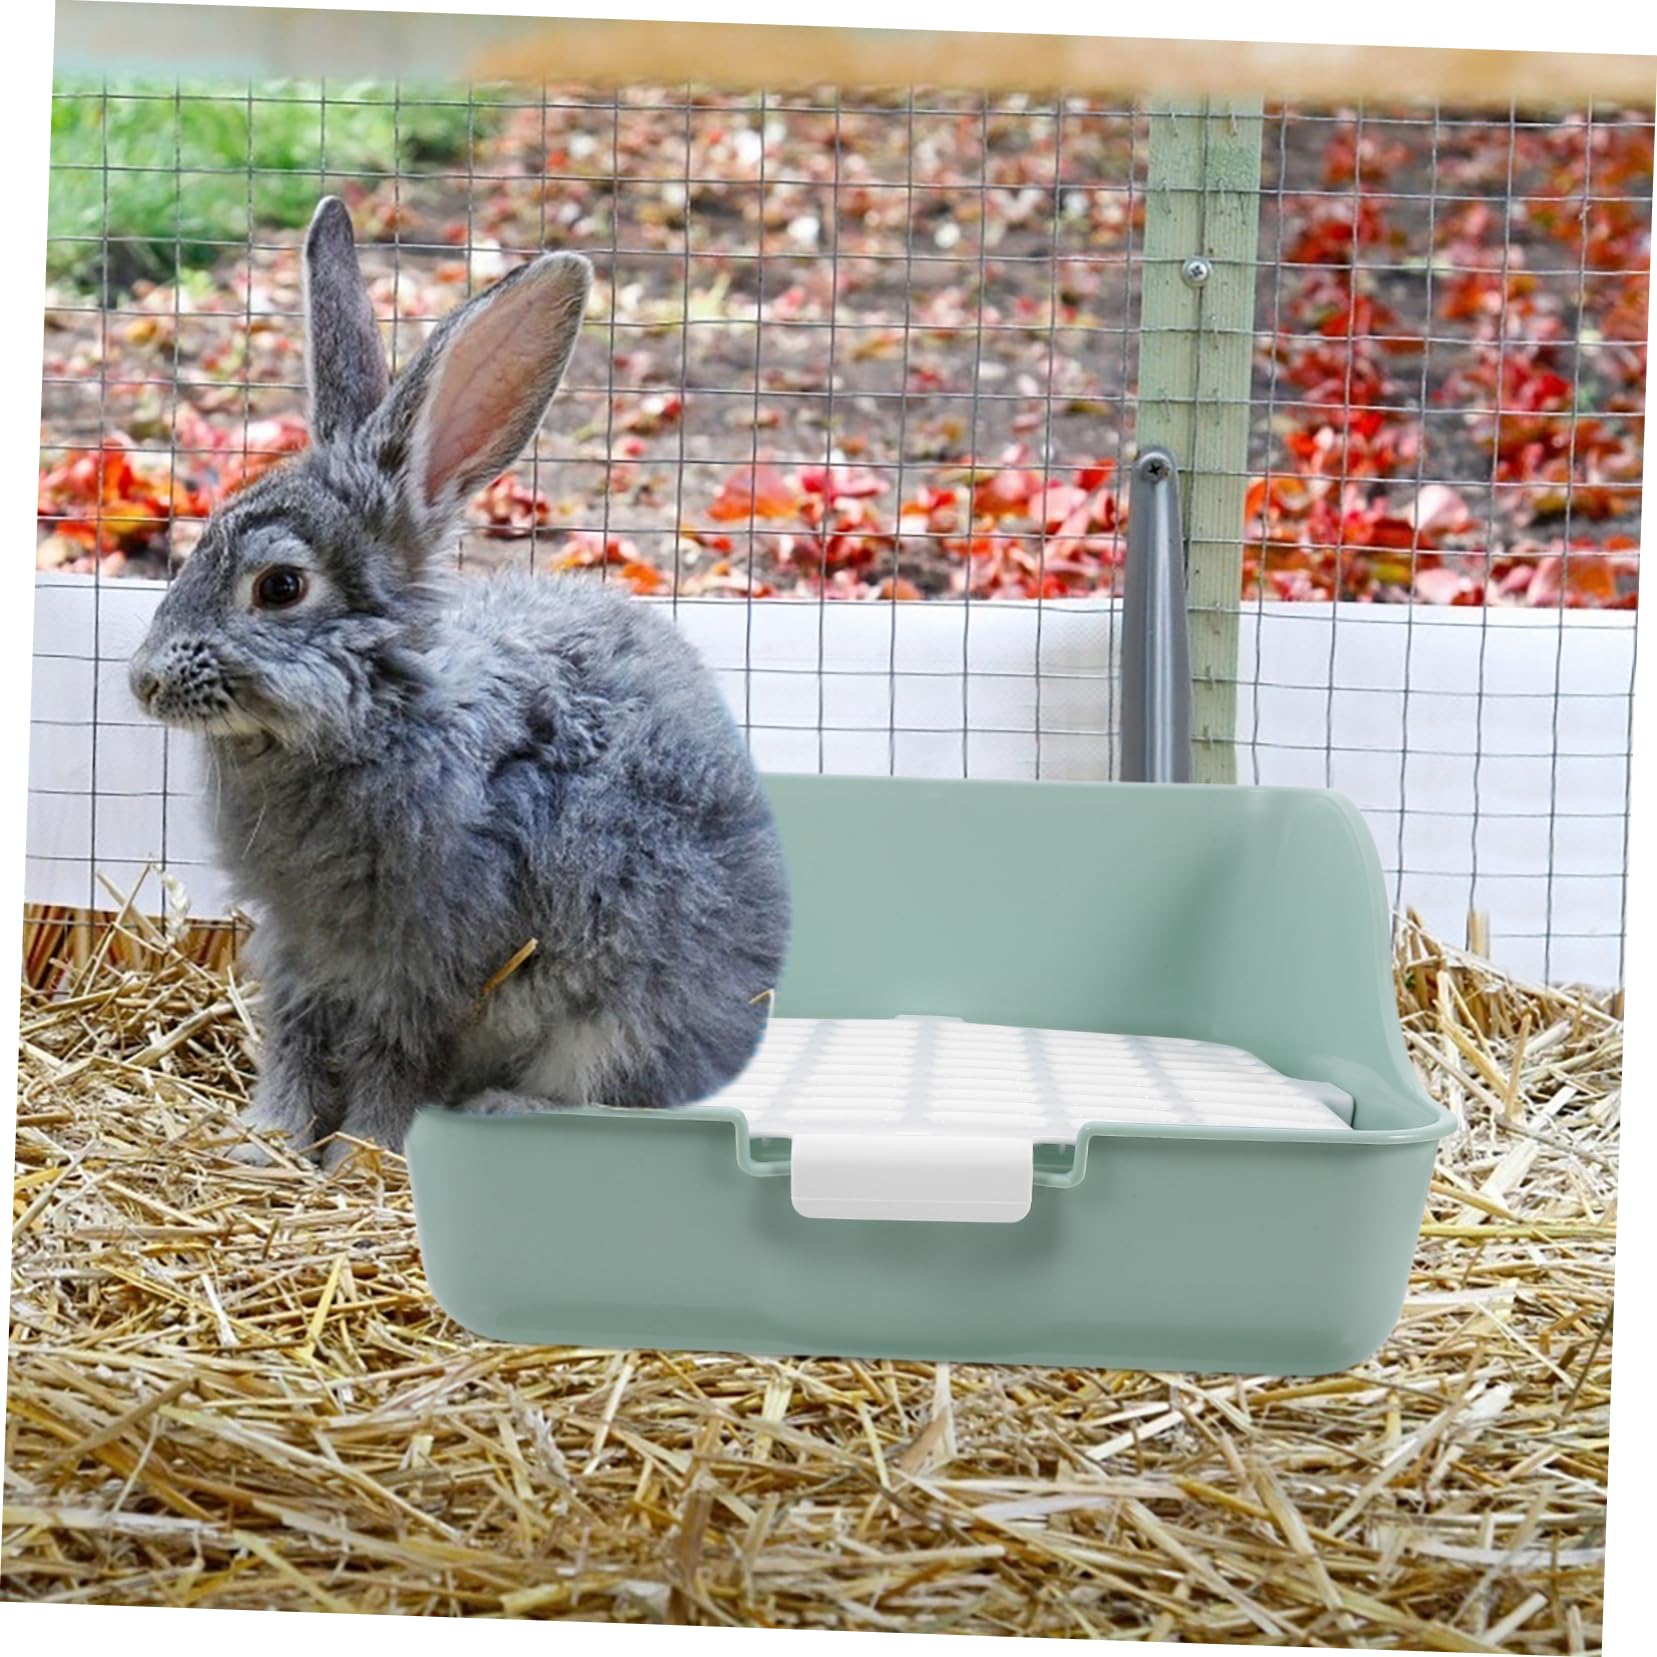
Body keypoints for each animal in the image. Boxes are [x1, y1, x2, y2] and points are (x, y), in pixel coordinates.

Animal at [128, 197, 791, 1169]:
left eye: (280, 587)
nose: (142, 682)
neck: (382, 713)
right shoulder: (296, 950)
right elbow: (293, 1042)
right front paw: (266, 1141)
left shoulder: (428, 966)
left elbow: (391, 1059)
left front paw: (361, 1156)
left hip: (620, 1022)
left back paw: (500, 1110)